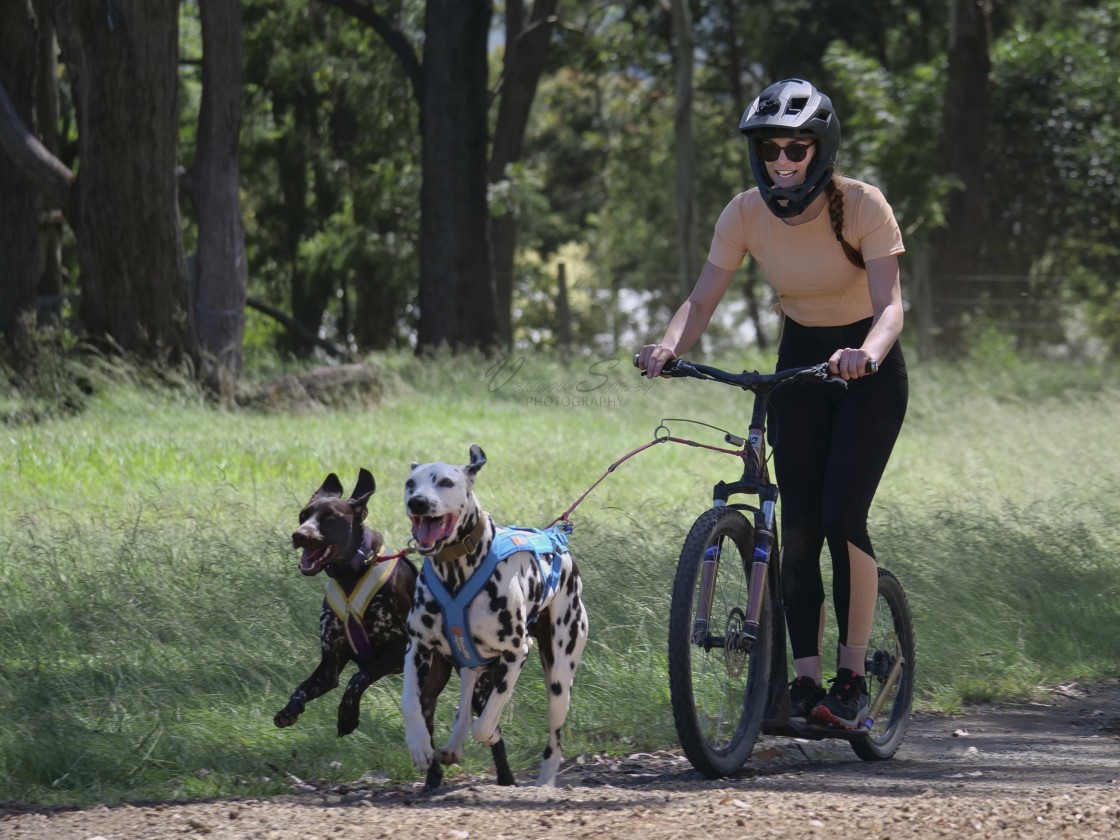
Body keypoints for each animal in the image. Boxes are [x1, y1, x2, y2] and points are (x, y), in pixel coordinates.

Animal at [277, 470, 512, 792]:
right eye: (304, 515)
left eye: (329, 518)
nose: (299, 535)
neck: (352, 575)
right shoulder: (329, 667)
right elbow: (303, 688)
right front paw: (289, 710)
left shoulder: (396, 650)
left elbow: (358, 678)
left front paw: (347, 715)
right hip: (424, 697)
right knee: (425, 739)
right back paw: (432, 778)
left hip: (478, 691)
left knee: (494, 734)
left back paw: (506, 778)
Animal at [400, 448, 591, 788]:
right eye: (411, 483)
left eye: (446, 482)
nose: (418, 502)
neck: (456, 571)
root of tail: (561, 547)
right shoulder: (418, 648)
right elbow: (410, 701)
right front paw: (420, 744)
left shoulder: (516, 652)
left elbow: (488, 721)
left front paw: (489, 735)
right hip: (468, 662)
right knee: (467, 691)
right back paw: (453, 744)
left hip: (559, 677)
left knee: (554, 741)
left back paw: (545, 782)